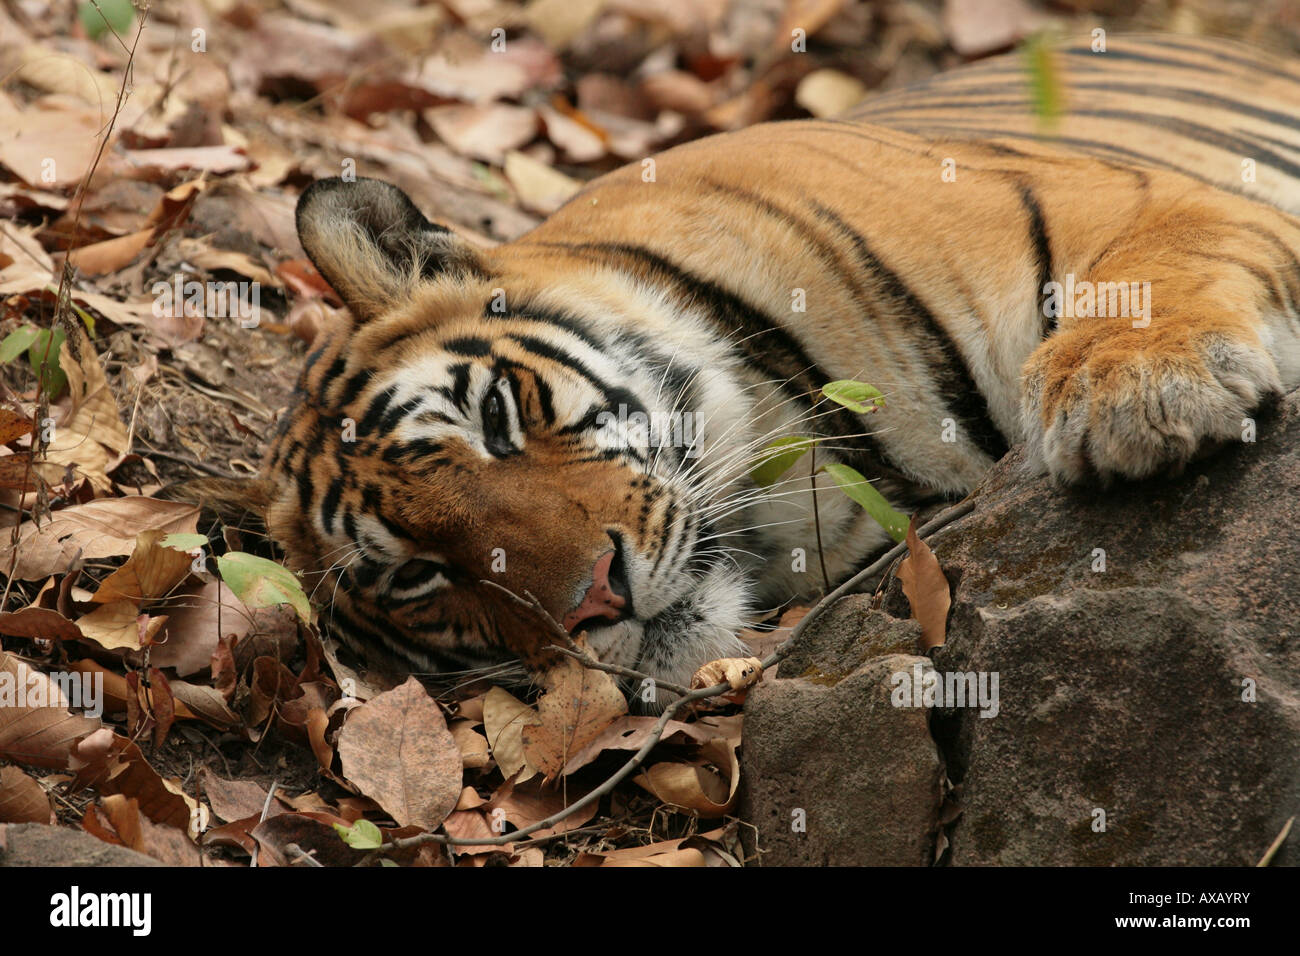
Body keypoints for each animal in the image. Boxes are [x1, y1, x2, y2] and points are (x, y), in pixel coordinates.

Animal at [245, 33, 1300, 697]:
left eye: (497, 416)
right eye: (417, 577)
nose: (597, 603)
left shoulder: (1128, 198)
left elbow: (1151, 270)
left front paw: (1139, 392)